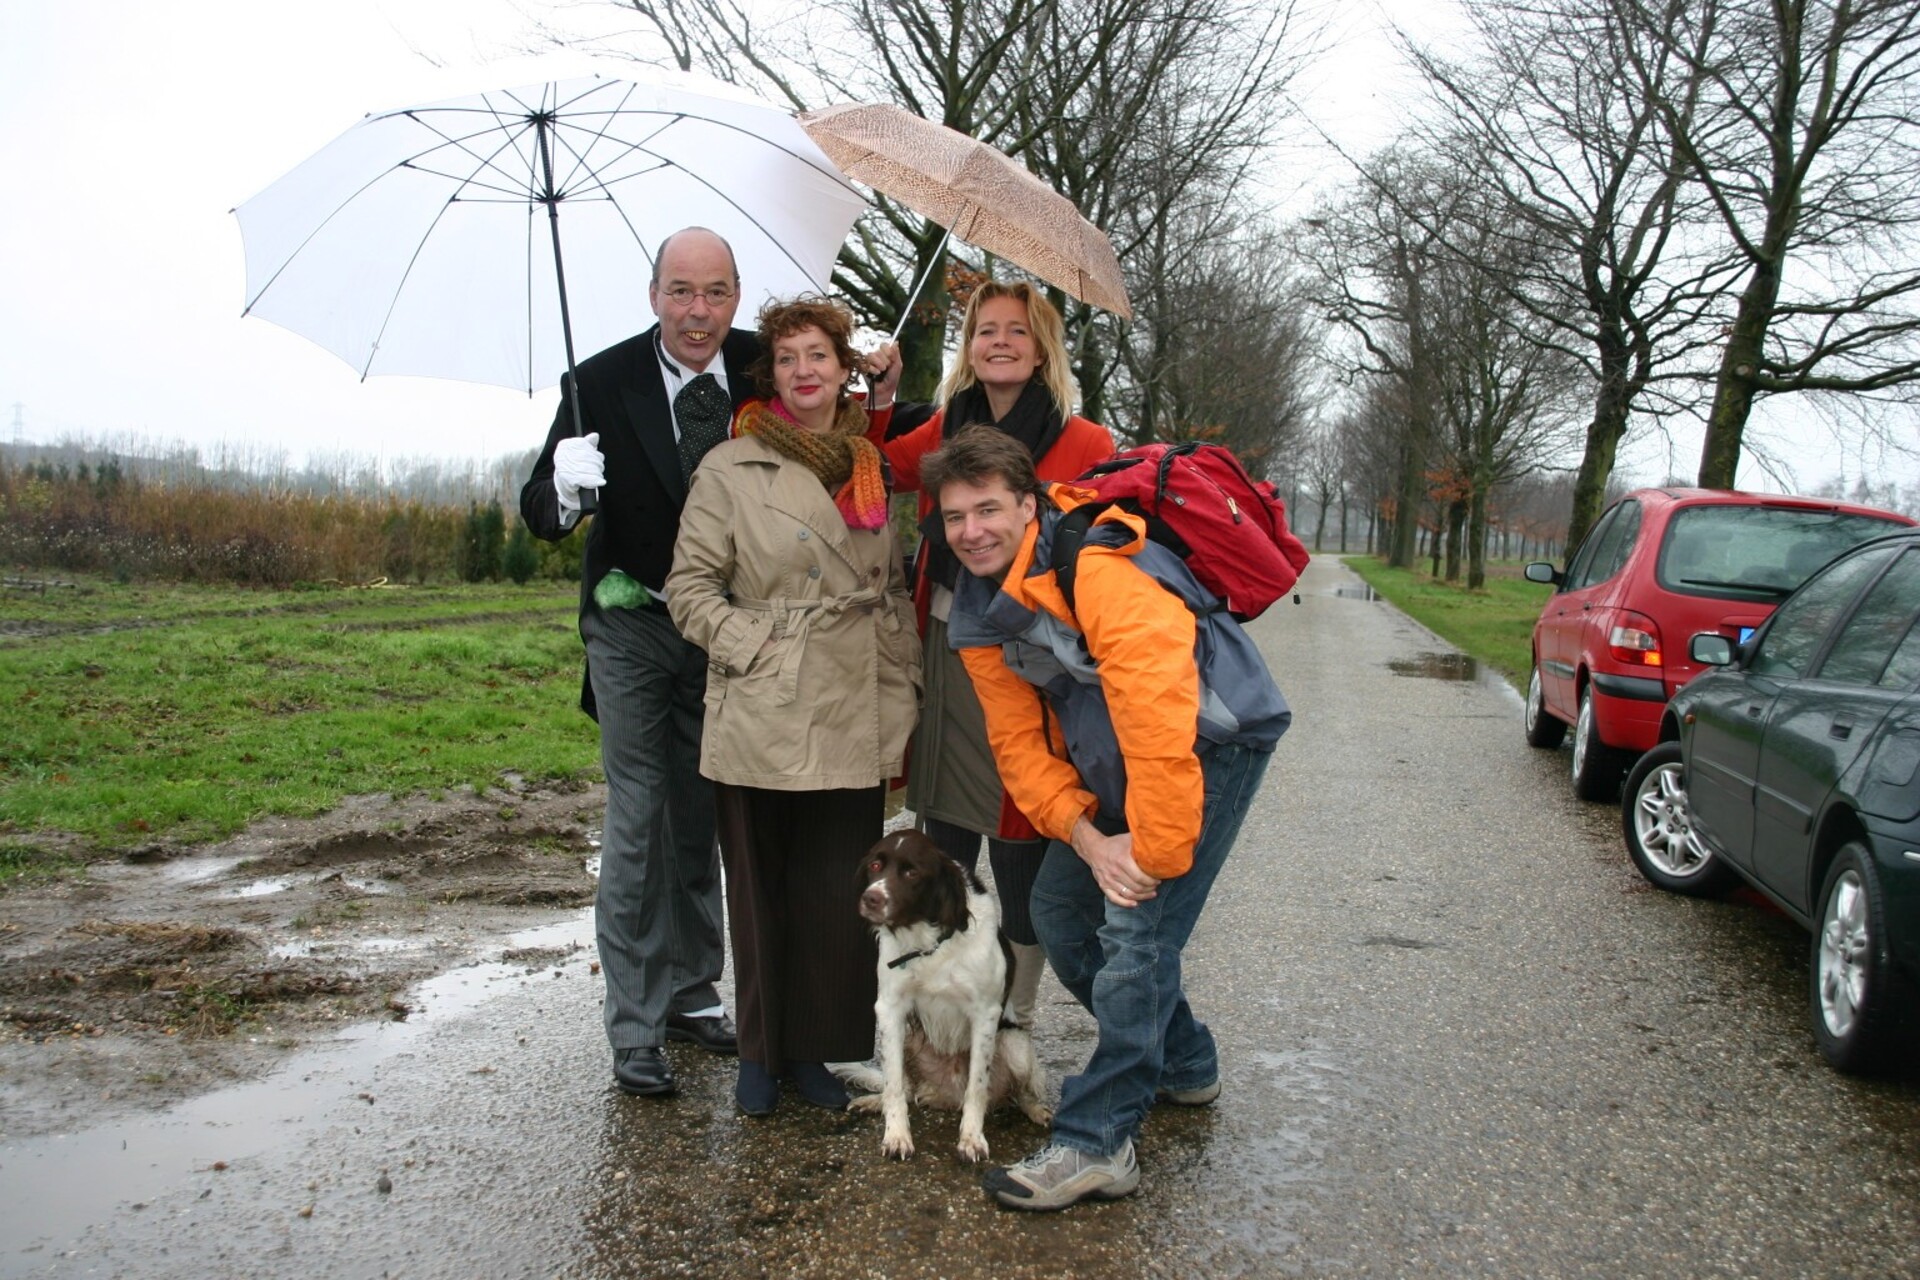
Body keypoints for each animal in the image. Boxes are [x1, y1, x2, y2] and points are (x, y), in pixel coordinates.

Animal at [848, 832, 1052, 1159]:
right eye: (876, 865)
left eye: (912, 872)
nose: (871, 898)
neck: (928, 942)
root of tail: (944, 1093)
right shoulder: (890, 1009)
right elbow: (893, 1085)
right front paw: (896, 1136)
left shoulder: (985, 1013)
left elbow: (977, 1087)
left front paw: (972, 1139)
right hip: (909, 1035)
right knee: (905, 1088)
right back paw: (874, 1102)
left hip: (1016, 1044)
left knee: (1021, 1091)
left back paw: (1035, 1110)